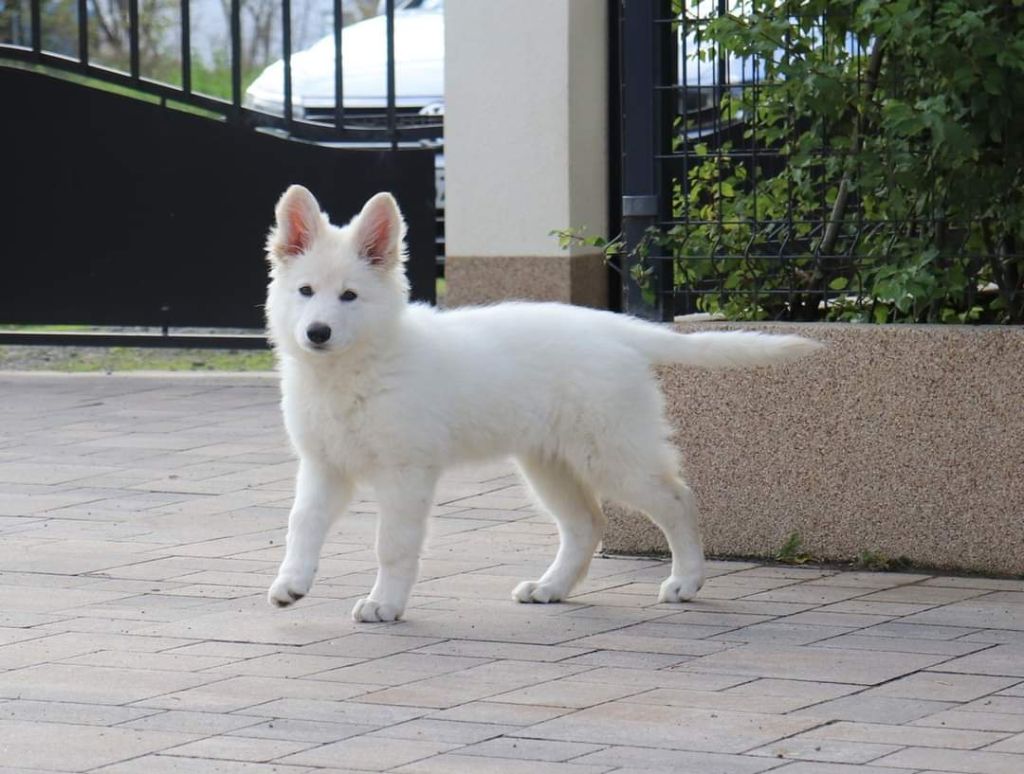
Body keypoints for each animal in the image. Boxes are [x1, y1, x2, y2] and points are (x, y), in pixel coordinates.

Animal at [264, 185, 822, 622]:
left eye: (350, 296)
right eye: (306, 291)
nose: (317, 333)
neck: (353, 369)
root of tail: (614, 327)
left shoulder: (406, 472)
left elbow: (393, 545)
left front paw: (385, 603)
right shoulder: (324, 465)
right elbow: (300, 524)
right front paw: (292, 582)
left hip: (613, 455)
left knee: (678, 499)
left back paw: (686, 581)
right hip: (549, 462)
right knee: (586, 524)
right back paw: (551, 588)